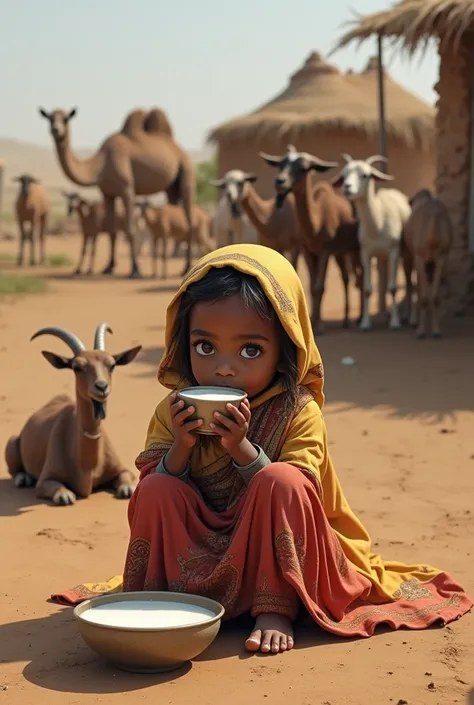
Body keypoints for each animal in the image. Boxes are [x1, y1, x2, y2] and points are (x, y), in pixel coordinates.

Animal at [4, 324, 142, 506]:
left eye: (112, 365)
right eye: (77, 367)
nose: (101, 387)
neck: (88, 464)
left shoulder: (123, 470)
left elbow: (127, 484)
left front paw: (127, 489)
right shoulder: (45, 480)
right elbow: (62, 493)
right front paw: (65, 495)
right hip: (12, 442)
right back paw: (23, 478)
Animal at [37, 107, 198, 278]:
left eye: (66, 119)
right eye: (50, 118)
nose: (56, 130)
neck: (100, 166)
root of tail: (179, 150)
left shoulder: (126, 189)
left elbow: (130, 230)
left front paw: (135, 270)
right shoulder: (107, 193)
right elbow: (112, 231)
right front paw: (109, 267)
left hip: (187, 171)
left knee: (189, 219)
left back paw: (187, 267)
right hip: (171, 187)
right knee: (175, 206)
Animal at [262, 145, 362, 332]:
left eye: (303, 168)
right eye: (281, 165)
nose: (280, 181)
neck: (317, 221)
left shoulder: (325, 251)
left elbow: (319, 287)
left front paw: (320, 326)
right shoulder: (308, 251)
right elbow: (311, 286)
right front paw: (313, 322)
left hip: (354, 251)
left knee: (360, 278)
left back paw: (359, 319)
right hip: (341, 253)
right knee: (346, 278)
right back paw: (346, 320)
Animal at [330, 154, 412, 330]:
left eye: (365, 175)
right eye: (344, 175)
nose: (347, 187)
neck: (378, 224)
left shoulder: (394, 251)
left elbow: (393, 287)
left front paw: (395, 323)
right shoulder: (365, 253)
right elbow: (367, 289)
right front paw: (365, 323)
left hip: (404, 255)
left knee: (409, 283)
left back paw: (409, 318)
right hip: (381, 258)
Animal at [402, 190, 454, 338]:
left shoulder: (440, 259)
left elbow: (434, 297)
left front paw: (436, 332)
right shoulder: (420, 258)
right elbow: (425, 296)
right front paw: (421, 332)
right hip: (413, 257)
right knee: (411, 283)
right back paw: (410, 320)